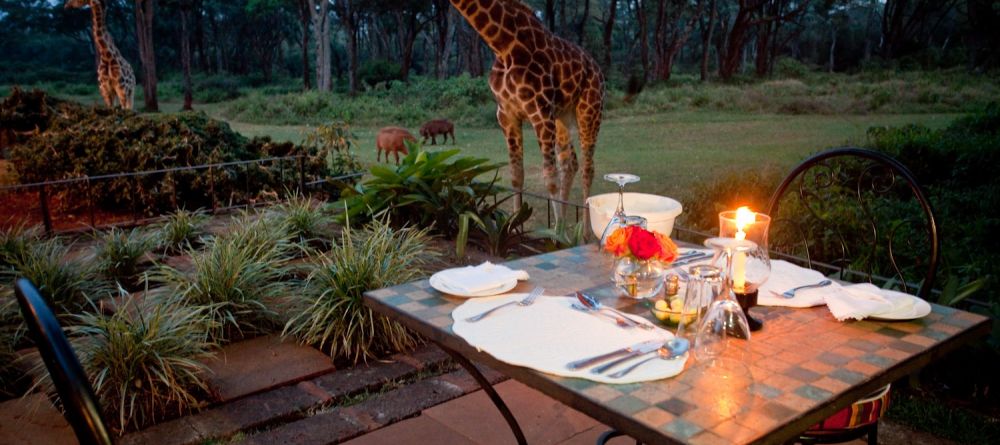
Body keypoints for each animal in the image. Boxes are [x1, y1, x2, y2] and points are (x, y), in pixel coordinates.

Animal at [450, 0, 604, 220]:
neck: (502, 44)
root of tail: (597, 68)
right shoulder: (506, 114)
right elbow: (516, 175)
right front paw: (514, 224)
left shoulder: (540, 112)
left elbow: (550, 178)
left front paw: (557, 230)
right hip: (562, 117)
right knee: (570, 163)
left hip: (590, 109)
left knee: (587, 169)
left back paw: (582, 228)